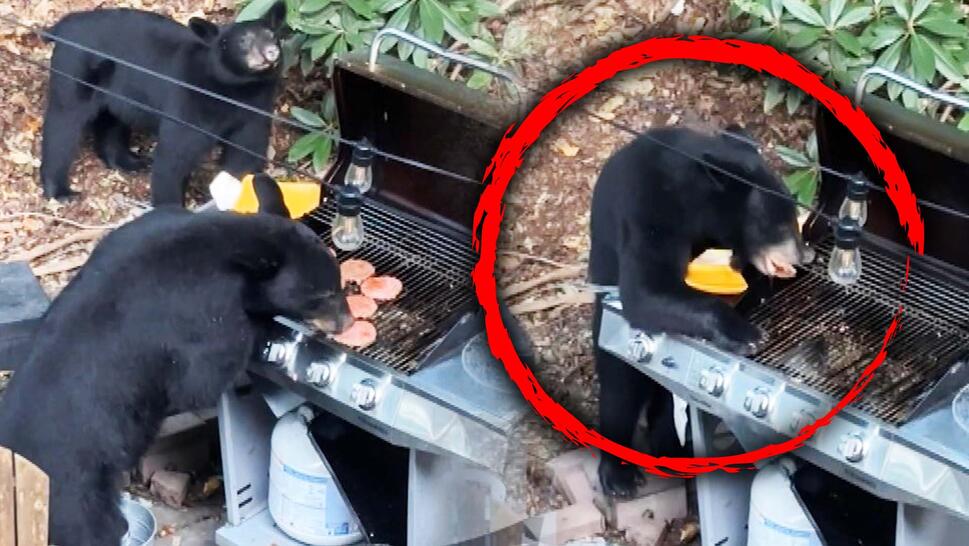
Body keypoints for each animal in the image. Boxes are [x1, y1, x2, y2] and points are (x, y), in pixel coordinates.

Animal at [0, 202, 354, 540]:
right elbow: (202, 379)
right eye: (322, 295)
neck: (226, 243)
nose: (347, 323)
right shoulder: (203, 311)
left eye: (339, 283)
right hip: (70, 493)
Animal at [38, 2, 288, 205]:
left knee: (111, 121)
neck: (235, 90)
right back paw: (61, 191)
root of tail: (61, 27)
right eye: (243, 41)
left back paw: (129, 162)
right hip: (76, 70)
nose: (270, 52)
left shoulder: (254, 111)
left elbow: (245, 153)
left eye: (272, 34)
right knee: (63, 124)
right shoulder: (190, 101)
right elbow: (174, 155)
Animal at [588, 124, 812, 498]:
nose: (803, 256)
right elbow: (648, 288)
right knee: (621, 385)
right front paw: (747, 334)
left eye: (795, 220)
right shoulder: (648, 207)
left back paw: (672, 452)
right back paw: (619, 474)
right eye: (781, 226)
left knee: (667, 404)